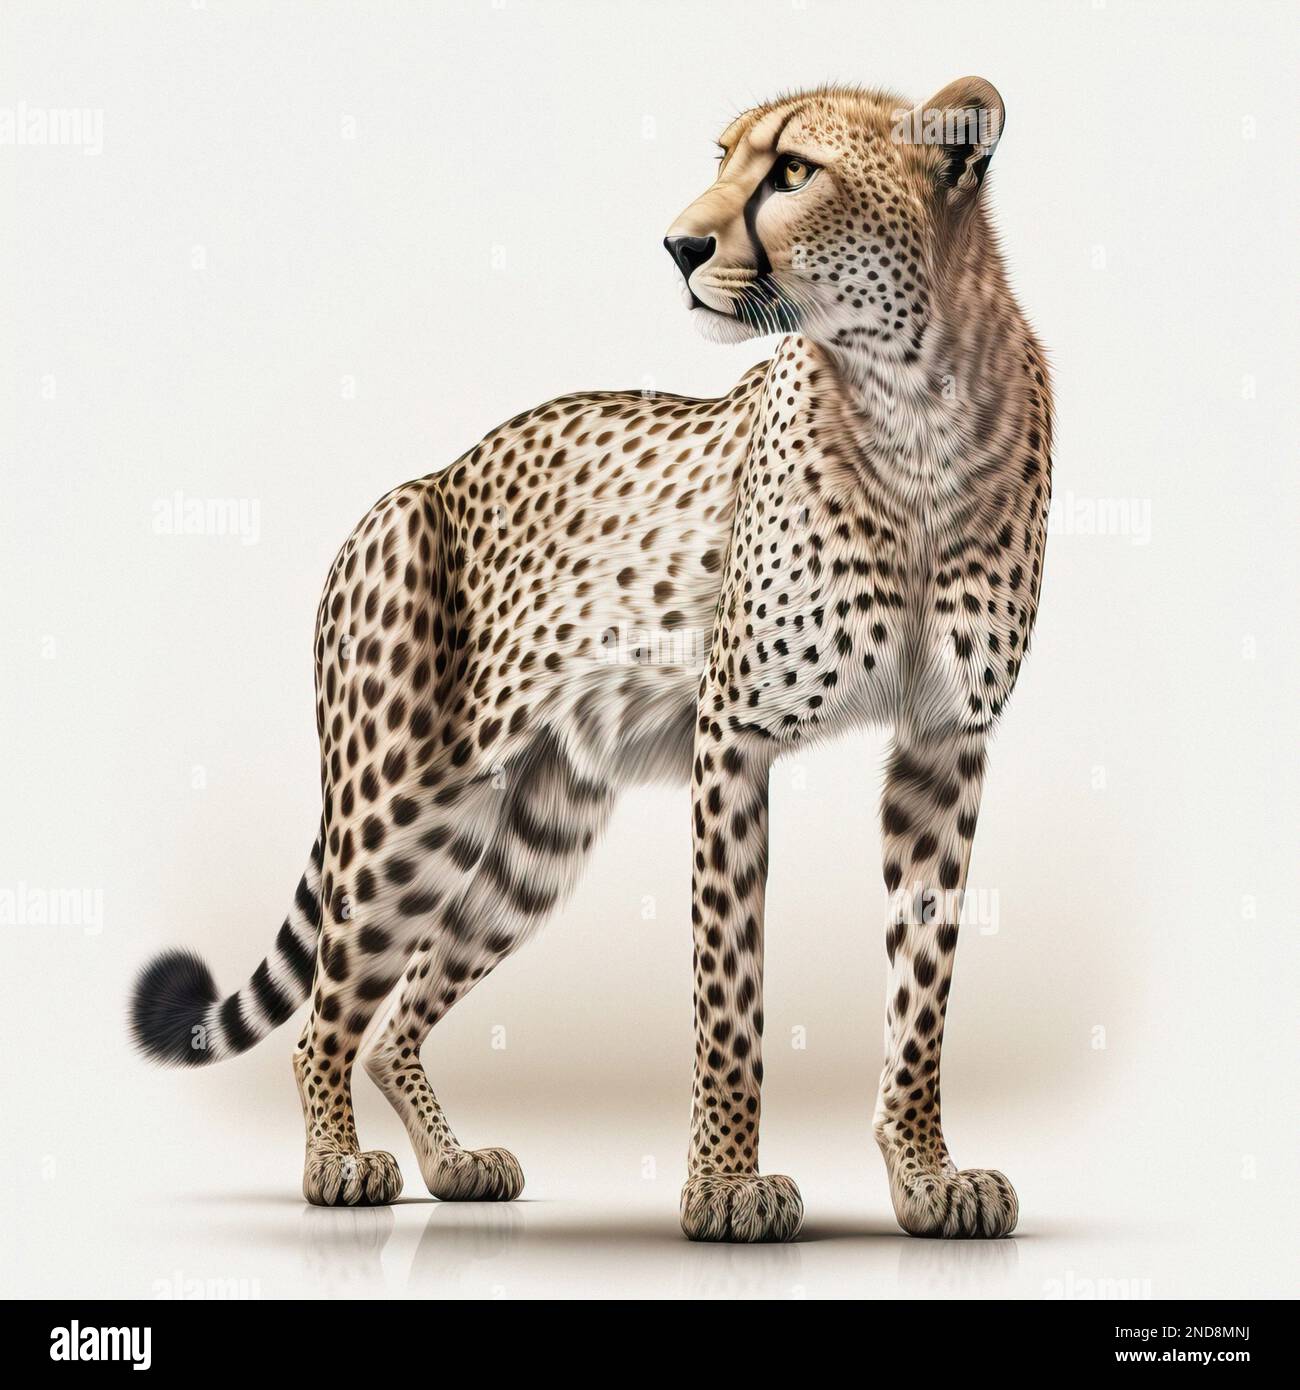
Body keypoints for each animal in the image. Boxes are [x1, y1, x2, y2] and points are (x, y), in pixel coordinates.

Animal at [131, 78, 1052, 1242]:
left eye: (793, 171)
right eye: (722, 157)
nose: (679, 243)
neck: (914, 401)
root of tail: (419, 482)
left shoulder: (944, 740)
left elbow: (922, 988)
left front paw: (930, 1177)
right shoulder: (733, 732)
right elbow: (729, 988)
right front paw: (724, 1188)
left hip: (533, 834)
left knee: (396, 1016)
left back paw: (453, 1161)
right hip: (402, 808)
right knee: (326, 1015)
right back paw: (337, 1163)